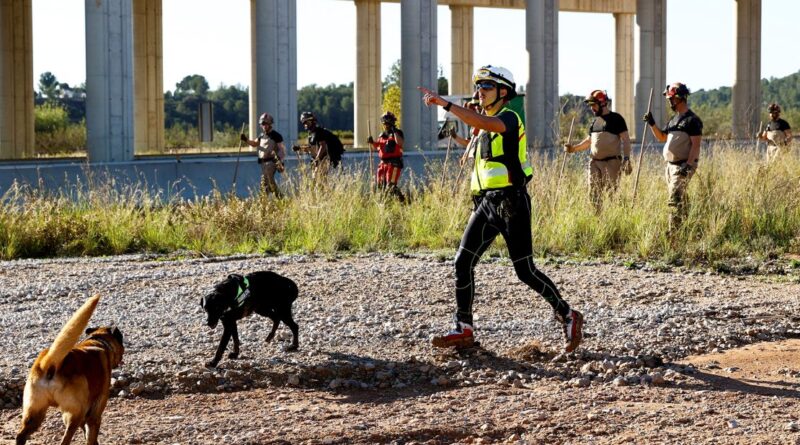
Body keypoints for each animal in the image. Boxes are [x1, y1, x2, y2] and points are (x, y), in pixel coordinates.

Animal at [16, 294, 123, 444]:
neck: (98, 341)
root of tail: (50, 363)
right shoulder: (94, 413)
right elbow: (91, 437)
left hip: (34, 412)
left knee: (20, 436)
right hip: (75, 415)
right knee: (65, 439)